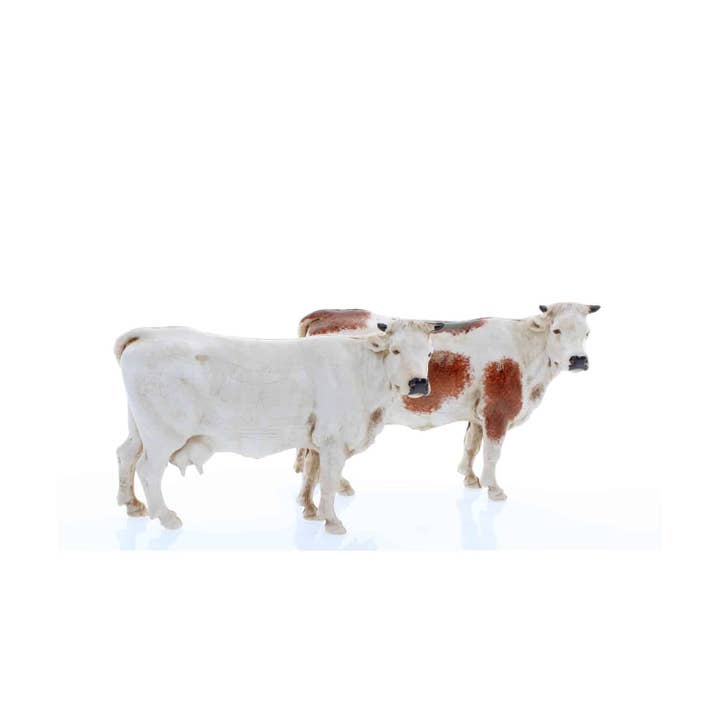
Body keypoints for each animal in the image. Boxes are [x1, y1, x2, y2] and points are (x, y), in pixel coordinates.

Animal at [114, 320, 440, 534]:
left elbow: (311, 473)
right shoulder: (333, 441)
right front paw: (332, 521)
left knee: (126, 454)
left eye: (428, 353)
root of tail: (150, 333)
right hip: (163, 435)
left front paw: (311, 512)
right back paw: (166, 516)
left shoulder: (316, 441)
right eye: (395, 351)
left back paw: (132, 504)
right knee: (148, 470)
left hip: (138, 429)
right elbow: (329, 482)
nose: (418, 383)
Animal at [295, 303, 600, 507]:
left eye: (587, 333)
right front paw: (494, 489)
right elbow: (492, 453)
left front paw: (470, 478)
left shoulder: (478, 413)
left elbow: (471, 444)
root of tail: (331, 312)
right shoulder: (498, 410)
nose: (578, 360)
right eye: (556, 330)